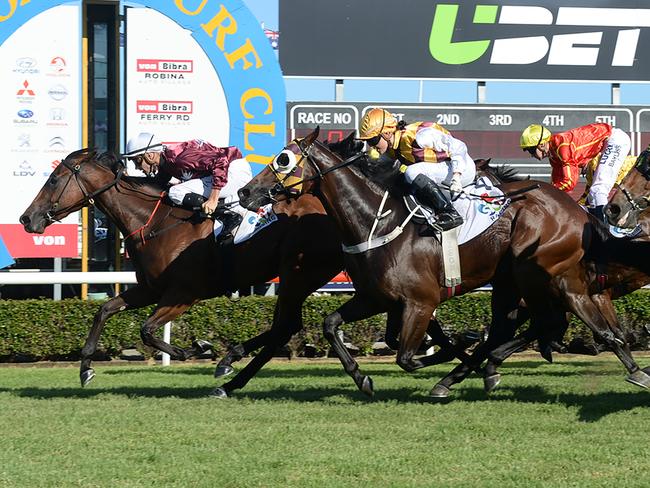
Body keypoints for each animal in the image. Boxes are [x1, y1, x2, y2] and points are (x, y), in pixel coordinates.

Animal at [237, 127, 648, 398]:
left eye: (283, 160)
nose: (244, 192)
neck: (376, 220)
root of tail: (578, 212)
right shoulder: (376, 298)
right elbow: (331, 325)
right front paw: (362, 378)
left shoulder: (421, 302)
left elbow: (407, 356)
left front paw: (459, 347)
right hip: (514, 281)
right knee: (534, 325)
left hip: (547, 276)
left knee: (573, 326)